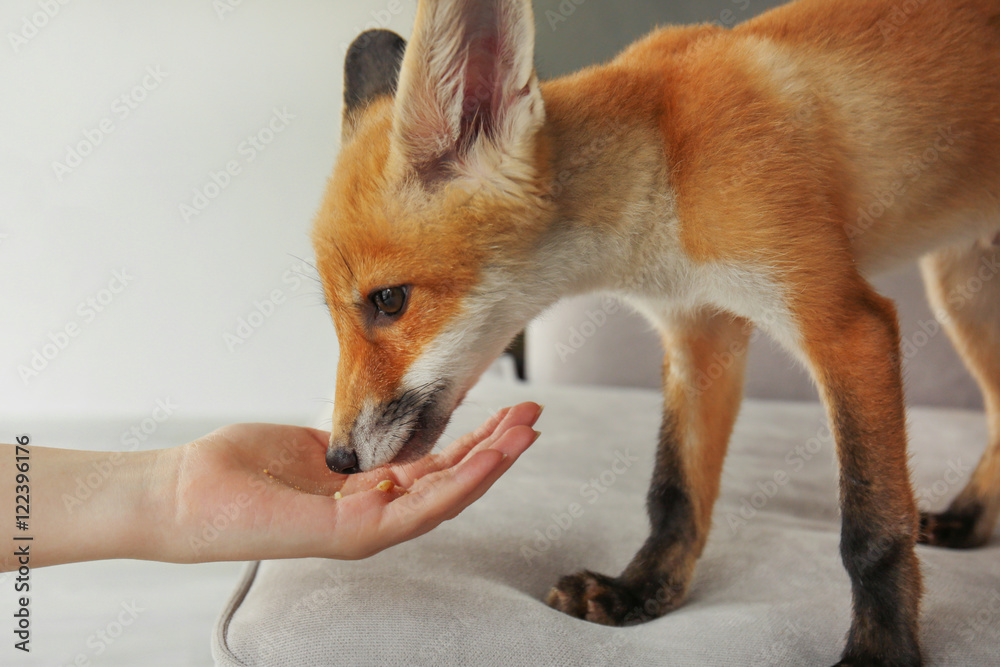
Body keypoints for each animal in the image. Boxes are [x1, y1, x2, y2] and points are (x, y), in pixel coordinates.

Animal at [310, 0, 1000, 664]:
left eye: (389, 300)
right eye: (334, 315)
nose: (338, 460)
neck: (669, 172)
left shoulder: (845, 323)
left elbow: (871, 530)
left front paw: (882, 649)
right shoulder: (700, 333)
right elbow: (675, 493)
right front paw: (640, 592)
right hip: (963, 295)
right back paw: (970, 523)